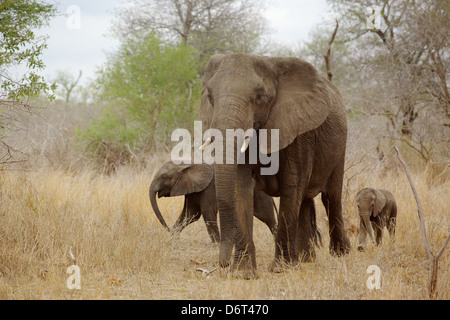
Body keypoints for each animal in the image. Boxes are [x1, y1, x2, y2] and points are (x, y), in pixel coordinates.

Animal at [149, 162, 278, 242]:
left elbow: (207, 213)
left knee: (267, 217)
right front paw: (174, 239)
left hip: (260, 194)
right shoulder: (192, 190)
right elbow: (190, 214)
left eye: (164, 176)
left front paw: (216, 245)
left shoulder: (210, 189)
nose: (168, 229)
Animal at [199, 53, 350, 278]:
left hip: (339, 147)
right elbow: (241, 188)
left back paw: (341, 254)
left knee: (331, 197)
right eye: (210, 96)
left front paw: (280, 269)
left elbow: (291, 187)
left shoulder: (300, 132)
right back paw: (305, 259)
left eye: (260, 96)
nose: (222, 264)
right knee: (305, 201)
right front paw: (242, 274)